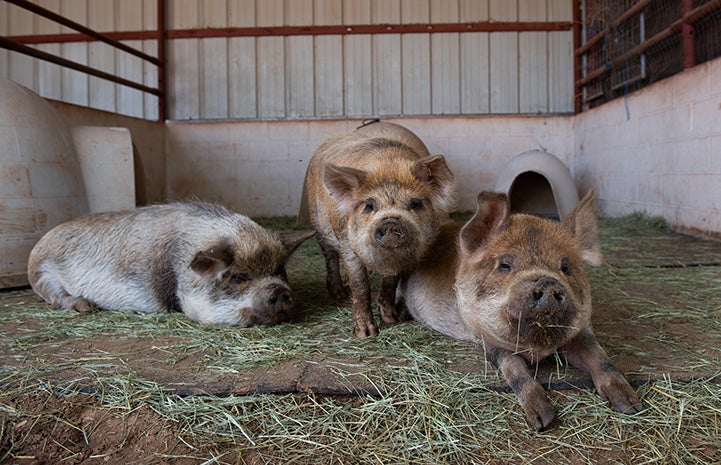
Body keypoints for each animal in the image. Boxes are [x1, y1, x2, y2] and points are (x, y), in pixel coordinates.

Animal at [26, 201, 314, 324]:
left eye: (279, 270)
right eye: (239, 277)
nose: (281, 291)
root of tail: (38, 245)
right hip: (42, 275)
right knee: (56, 298)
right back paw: (87, 307)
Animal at [304, 119, 456, 338]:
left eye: (415, 203)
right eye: (369, 205)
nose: (391, 222)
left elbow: (391, 282)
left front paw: (392, 319)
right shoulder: (346, 241)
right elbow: (360, 284)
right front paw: (365, 334)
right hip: (318, 224)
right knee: (330, 256)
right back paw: (340, 294)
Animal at [394, 190, 640, 430]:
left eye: (565, 267)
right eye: (505, 265)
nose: (548, 283)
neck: (537, 349)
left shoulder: (581, 332)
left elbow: (600, 357)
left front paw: (630, 405)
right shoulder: (488, 341)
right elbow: (515, 370)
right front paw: (542, 420)